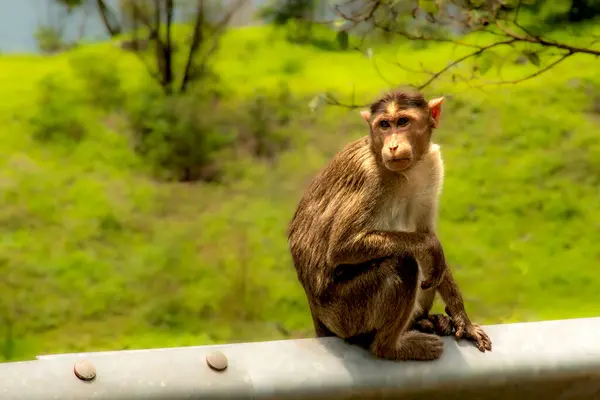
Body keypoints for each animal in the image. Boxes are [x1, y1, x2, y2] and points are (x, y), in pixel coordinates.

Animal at [288, 89, 492, 360]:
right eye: (384, 125)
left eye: (403, 122)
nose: (393, 145)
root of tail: (317, 313)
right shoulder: (369, 178)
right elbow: (343, 246)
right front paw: (431, 245)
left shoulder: (431, 165)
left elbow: (426, 235)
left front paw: (462, 318)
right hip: (344, 313)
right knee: (403, 261)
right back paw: (391, 347)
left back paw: (425, 321)